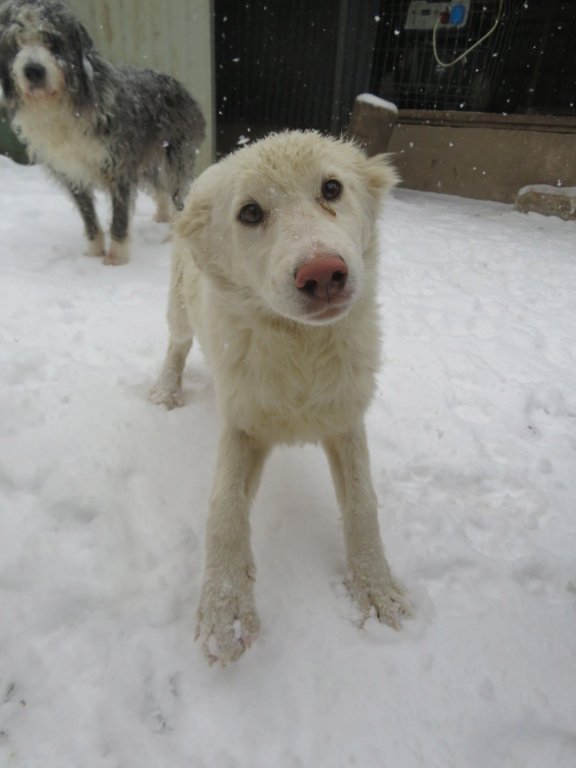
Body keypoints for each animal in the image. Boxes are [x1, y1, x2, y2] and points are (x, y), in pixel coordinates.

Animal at [0, 0, 206, 264]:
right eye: (15, 43)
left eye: (51, 39)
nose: (33, 71)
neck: (63, 107)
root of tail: (181, 87)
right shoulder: (71, 170)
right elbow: (88, 214)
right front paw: (93, 251)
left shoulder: (119, 165)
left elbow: (119, 215)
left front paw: (116, 258)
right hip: (146, 162)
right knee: (160, 189)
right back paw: (162, 216)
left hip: (177, 157)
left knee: (179, 196)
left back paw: (172, 236)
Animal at [148, 129, 410, 664]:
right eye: (250, 213)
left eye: (332, 189)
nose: (323, 274)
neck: (302, 346)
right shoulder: (243, 423)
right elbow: (224, 509)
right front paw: (225, 610)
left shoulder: (346, 418)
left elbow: (362, 505)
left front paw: (376, 588)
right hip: (179, 306)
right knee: (177, 344)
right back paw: (167, 389)